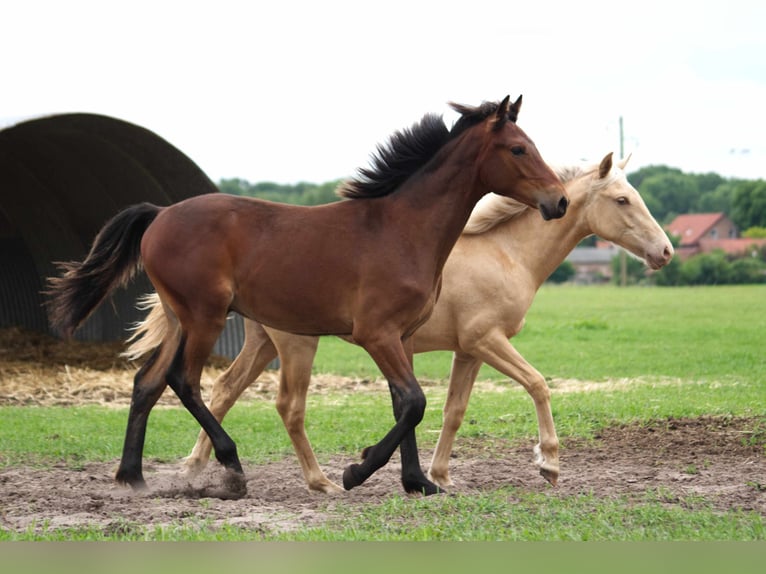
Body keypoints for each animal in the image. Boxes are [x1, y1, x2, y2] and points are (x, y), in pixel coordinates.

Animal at [43, 97, 568, 498]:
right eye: (519, 148)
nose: (559, 201)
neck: (401, 229)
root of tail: (160, 213)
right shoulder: (377, 335)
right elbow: (414, 401)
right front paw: (357, 471)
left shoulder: (403, 336)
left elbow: (405, 405)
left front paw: (417, 481)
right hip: (206, 318)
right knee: (183, 381)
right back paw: (232, 469)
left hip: (180, 319)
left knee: (146, 382)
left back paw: (132, 477)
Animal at [129, 153, 676, 496]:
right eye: (622, 200)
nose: (666, 251)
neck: (506, 254)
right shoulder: (487, 340)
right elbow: (538, 384)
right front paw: (550, 464)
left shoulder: (468, 351)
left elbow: (453, 412)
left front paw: (439, 476)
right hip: (296, 345)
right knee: (284, 406)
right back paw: (315, 480)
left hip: (262, 342)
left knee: (220, 390)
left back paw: (200, 469)